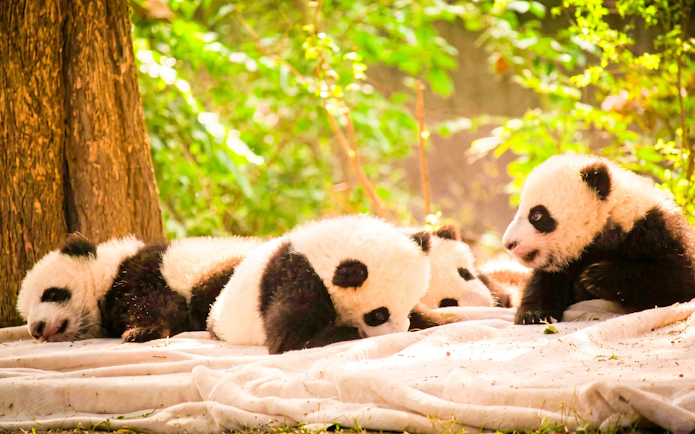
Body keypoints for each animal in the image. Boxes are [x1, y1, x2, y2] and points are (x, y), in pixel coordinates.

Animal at [17, 233, 262, 342]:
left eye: (51, 294)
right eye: (26, 315)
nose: (37, 328)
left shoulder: (146, 272)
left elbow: (153, 302)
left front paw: (143, 331)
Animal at [208, 215, 447, 354]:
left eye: (407, 309)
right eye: (379, 314)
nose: (398, 333)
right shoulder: (298, 279)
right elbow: (290, 339)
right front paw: (348, 333)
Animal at [502, 154, 695, 325]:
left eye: (536, 215)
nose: (508, 244)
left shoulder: (658, 230)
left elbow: (678, 278)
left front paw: (596, 277)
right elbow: (544, 281)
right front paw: (533, 314)